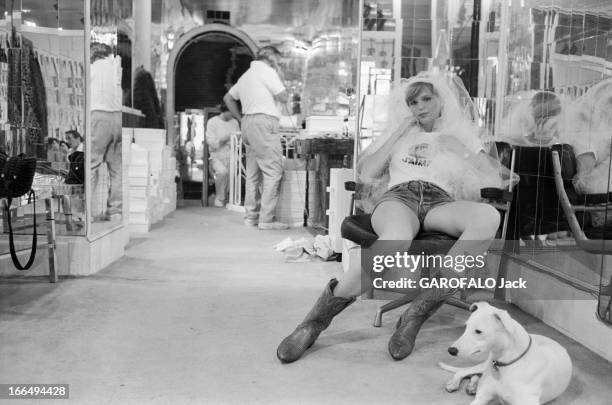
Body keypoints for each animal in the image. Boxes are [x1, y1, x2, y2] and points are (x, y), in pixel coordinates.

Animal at [438, 302, 572, 402]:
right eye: (466, 327)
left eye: (478, 331)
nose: (451, 350)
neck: (506, 363)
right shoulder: (481, 398)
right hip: (485, 365)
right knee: (464, 371)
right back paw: (456, 384)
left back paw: (472, 386)